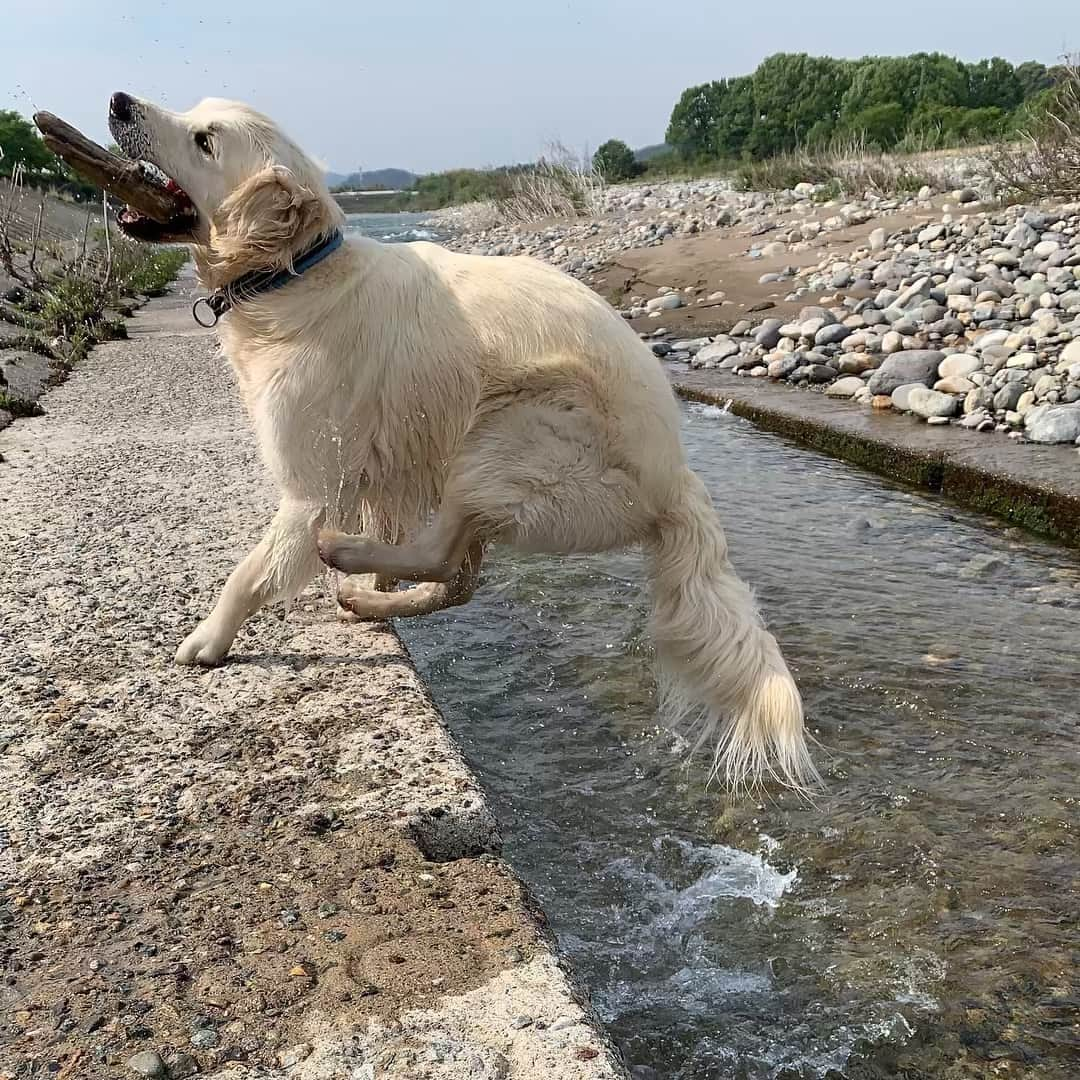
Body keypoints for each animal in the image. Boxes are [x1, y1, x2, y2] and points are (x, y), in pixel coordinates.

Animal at [109, 92, 816, 794]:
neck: (294, 274)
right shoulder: (376, 472)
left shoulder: (313, 488)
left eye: (203, 139)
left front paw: (209, 640)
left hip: (509, 433)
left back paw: (345, 557)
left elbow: (250, 573)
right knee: (457, 577)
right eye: (192, 111)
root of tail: (679, 482)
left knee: (441, 554)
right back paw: (365, 594)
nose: (118, 102)